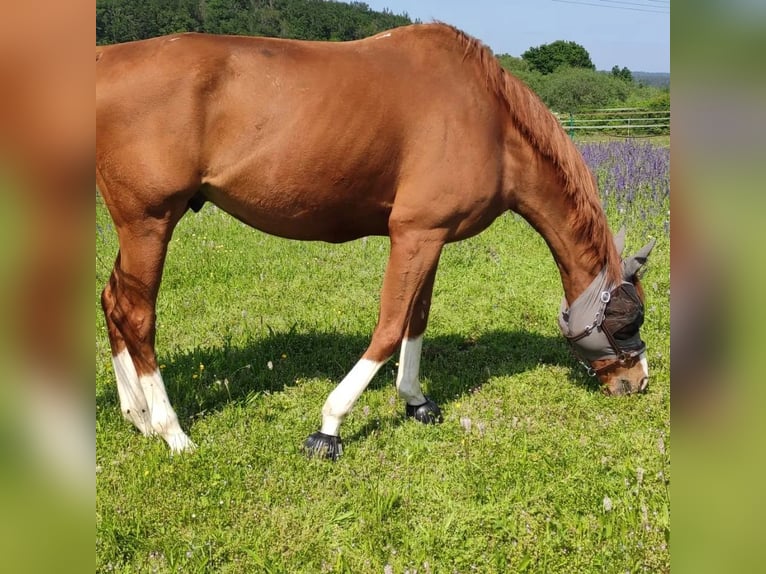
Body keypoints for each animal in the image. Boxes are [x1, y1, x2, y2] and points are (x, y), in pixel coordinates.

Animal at [96, 23, 656, 464]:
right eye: (627, 321)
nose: (638, 383)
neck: (491, 122)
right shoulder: (414, 234)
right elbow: (388, 328)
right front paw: (329, 426)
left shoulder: (432, 237)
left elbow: (416, 320)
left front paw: (416, 400)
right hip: (149, 221)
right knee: (138, 316)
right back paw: (171, 431)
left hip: (141, 226)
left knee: (113, 301)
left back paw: (137, 415)